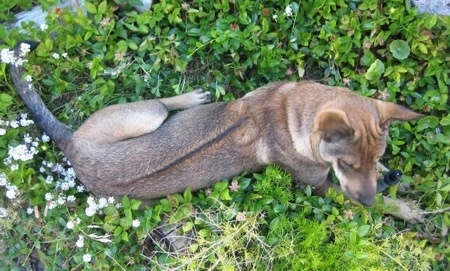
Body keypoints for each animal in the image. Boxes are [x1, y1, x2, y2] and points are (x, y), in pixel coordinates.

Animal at [11, 42, 426, 206]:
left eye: (374, 160)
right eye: (345, 164)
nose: (366, 201)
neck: (292, 114)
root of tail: (70, 144)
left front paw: (396, 181)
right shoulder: (321, 187)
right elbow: (386, 207)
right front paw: (404, 209)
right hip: (149, 115)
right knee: (161, 104)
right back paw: (191, 99)